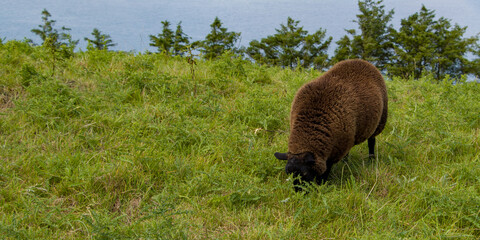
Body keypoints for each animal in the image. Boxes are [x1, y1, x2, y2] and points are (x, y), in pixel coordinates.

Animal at [274, 58, 386, 189]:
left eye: (305, 173)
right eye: (289, 173)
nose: (298, 192)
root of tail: (361, 60)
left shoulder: (335, 151)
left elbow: (327, 168)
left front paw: (322, 184)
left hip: (379, 122)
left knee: (371, 141)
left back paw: (371, 159)